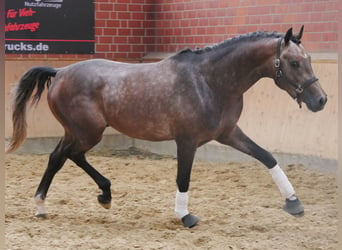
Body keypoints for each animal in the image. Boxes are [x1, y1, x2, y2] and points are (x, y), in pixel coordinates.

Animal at [6, 26, 326, 228]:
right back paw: (69, 200)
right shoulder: (187, 140)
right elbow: (183, 178)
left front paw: (294, 203)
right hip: (87, 132)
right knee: (66, 156)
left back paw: (67, 202)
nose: (321, 100)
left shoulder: (228, 133)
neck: (210, 81)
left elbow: (267, 157)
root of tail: (60, 72)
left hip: (77, 132)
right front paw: (185, 216)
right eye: (294, 63)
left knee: (59, 157)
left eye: (309, 59)